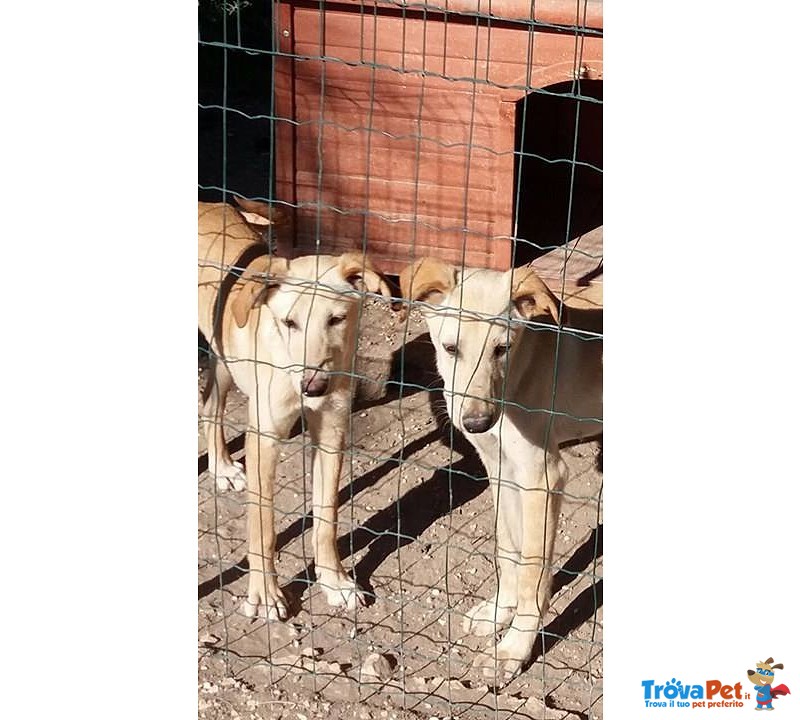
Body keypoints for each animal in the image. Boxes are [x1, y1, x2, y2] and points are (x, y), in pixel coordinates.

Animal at [197, 200, 390, 620]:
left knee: (210, 406)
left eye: (336, 319)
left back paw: (221, 466)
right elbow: (263, 525)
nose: (313, 387)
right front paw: (265, 593)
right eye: (289, 322)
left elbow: (326, 516)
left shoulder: (332, 432)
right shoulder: (264, 439)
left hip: (223, 358)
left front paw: (334, 581)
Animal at [400, 258, 600, 688]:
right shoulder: (500, 469)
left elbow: (532, 572)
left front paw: (513, 648)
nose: (476, 423)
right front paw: (498, 614)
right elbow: (508, 551)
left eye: (502, 348)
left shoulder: (543, 477)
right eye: (451, 348)